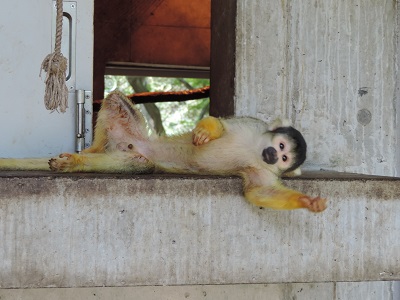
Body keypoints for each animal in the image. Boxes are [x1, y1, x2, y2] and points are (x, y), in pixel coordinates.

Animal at [0, 91, 324, 211]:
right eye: (280, 146)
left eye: (284, 158)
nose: (273, 156)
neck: (255, 150)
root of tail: (129, 143)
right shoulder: (253, 127)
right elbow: (221, 123)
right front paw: (206, 132)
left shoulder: (262, 170)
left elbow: (259, 192)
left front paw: (308, 201)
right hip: (127, 132)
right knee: (116, 98)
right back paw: (89, 148)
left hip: (134, 155)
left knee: (136, 164)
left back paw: (82, 160)